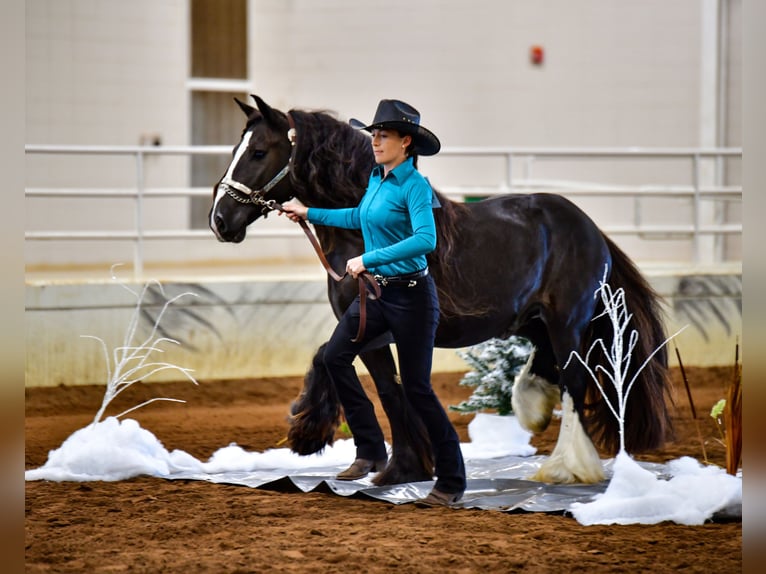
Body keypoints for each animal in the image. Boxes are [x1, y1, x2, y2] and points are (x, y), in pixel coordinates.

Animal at [208, 94, 672, 486]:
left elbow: (379, 386)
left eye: (258, 152)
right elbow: (356, 372)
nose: (219, 220)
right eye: (234, 150)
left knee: (575, 382)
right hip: (531, 321)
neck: (358, 237)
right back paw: (532, 408)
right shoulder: (364, 329)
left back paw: (566, 467)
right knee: (549, 366)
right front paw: (371, 458)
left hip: (566, 322)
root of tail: (591, 229)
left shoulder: (370, 327)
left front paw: (391, 466)